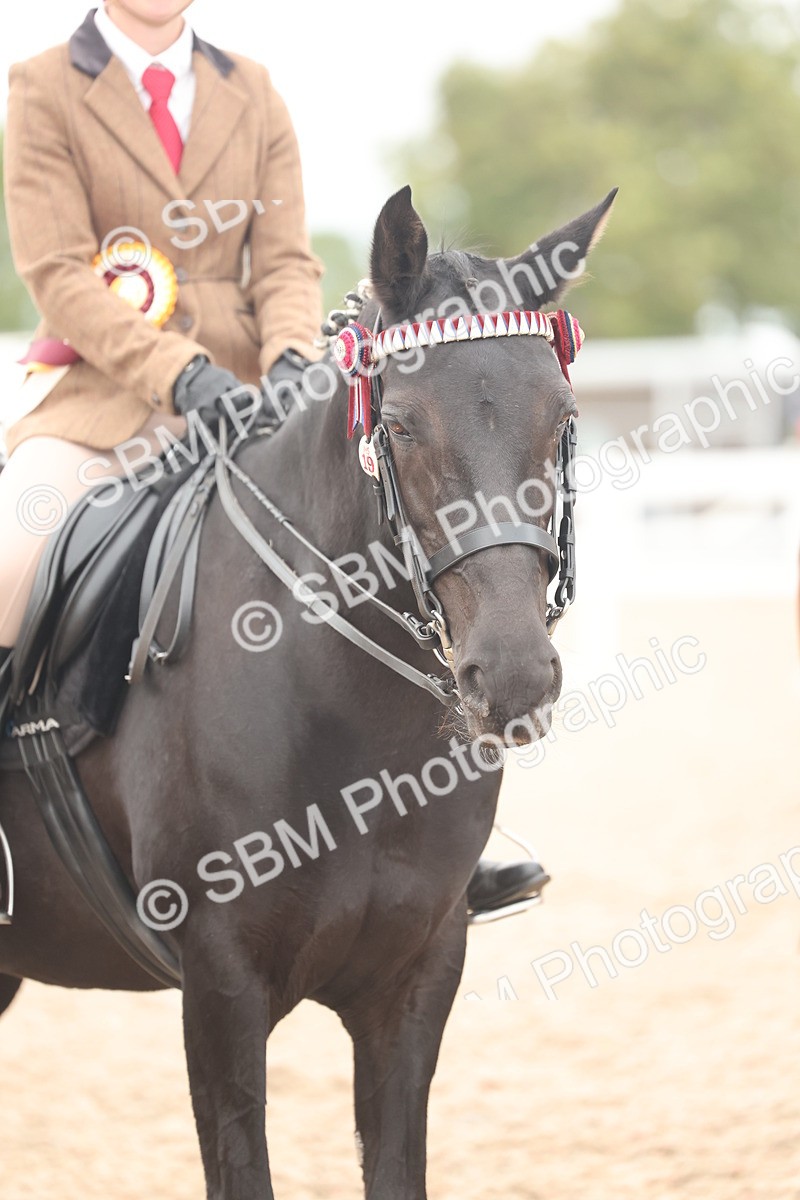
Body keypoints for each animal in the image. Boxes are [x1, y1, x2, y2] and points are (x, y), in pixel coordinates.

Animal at [0, 183, 615, 1199]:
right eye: (400, 426)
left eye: (563, 418)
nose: (514, 676)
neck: (357, 733)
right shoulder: (221, 990)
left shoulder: (413, 983)